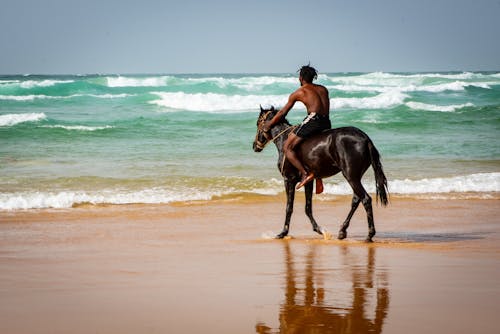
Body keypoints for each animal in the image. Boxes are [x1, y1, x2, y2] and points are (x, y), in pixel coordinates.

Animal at [252, 105, 388, 241]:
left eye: (258, 123)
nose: (254, 146)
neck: (284, 139)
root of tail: (365, 138)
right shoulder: (308, 181)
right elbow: (308, 208)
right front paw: (319, 230)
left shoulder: (288, 179)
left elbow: (289, 207)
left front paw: (283, 232)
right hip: (355, 177)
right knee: (356, 200)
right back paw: (342, 230)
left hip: (350, 176)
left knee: (365, 199)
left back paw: (369, 234)